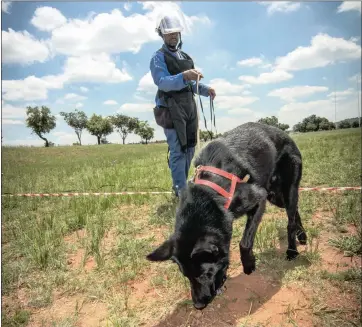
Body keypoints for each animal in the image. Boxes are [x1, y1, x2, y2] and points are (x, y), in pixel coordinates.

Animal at [146, 122, 306, 310]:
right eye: (186, 276)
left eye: (204, 274)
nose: (198, 305)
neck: (209, 194)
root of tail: (285, 134)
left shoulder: (259, 199)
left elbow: (244, 242)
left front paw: (249, 265)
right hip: (275, 196)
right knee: (295, 211)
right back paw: (302, 236)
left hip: (286, 190)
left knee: (290, 219)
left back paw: (292, 250)